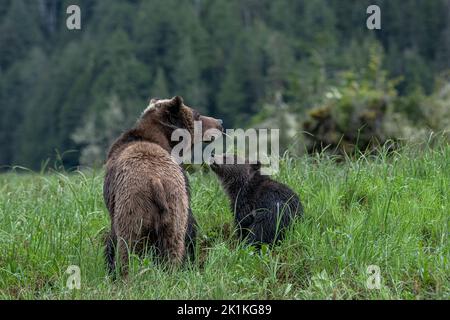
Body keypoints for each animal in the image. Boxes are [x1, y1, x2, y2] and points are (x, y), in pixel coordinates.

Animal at [104, 95, 223, 276]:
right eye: (197, 114)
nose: (219, 122)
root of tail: (156, 181)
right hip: (173, 209)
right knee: (173, 246)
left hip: (134, 208)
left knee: (129, 246)